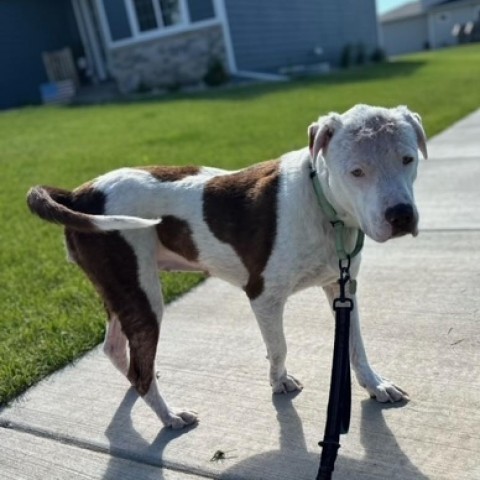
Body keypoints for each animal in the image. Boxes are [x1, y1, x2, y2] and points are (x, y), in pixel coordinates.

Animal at [27, 103, 428, 430]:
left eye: (408, 160)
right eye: (356, 172)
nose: (400, 216)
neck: (323, 206)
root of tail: (79, 195)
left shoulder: (342, 287)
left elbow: (356, 346)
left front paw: (375, 385)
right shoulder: (264, 297)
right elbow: (279, 346)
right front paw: (279, 383)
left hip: (122, 288)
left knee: (116, 348)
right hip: (141, 293)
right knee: (141, 367)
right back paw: (168, 415)